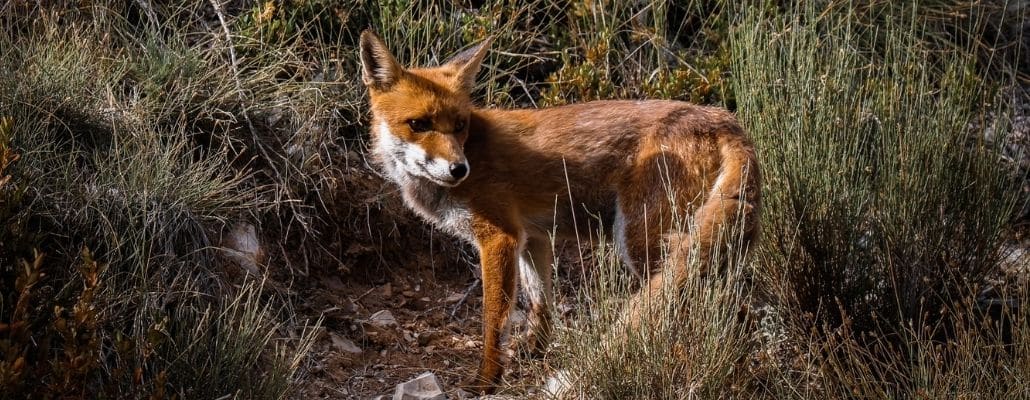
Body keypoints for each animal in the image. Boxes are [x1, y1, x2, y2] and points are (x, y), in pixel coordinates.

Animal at [358, 31, 762, 393]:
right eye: (419, 124)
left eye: (459, 125)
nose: (459, 169)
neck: (473, 150)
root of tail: (724, 119)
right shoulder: (532, 237)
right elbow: (541, 304)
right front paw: (535, 352)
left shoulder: (499, 237)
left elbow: (493, 322)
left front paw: (486, 381)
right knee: (734, 312)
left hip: (644, 244)